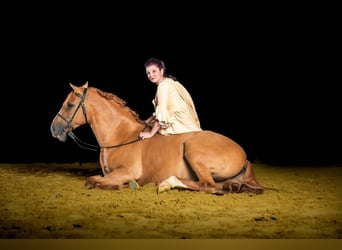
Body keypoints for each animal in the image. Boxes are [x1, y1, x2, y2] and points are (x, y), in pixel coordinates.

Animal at [49, 82, 272, 195]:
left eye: (69, 105)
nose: (53, 129)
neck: (121, 135)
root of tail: (243, 155)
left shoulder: (128, 171)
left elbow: (95, 181)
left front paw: (121, 185)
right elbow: (97, 178)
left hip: (193, 150)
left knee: (207, 185)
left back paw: (168, 183)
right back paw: (234, 186)